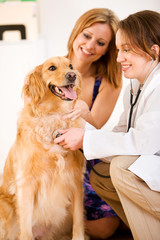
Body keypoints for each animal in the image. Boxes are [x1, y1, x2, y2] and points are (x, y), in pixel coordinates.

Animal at [0, 56, 86, 240]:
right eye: (51, 68)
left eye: (71, 66)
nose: (72, 75)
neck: (54, 117)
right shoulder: (26, 183)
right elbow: (25, 228)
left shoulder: (75, 179)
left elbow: (78, 220)